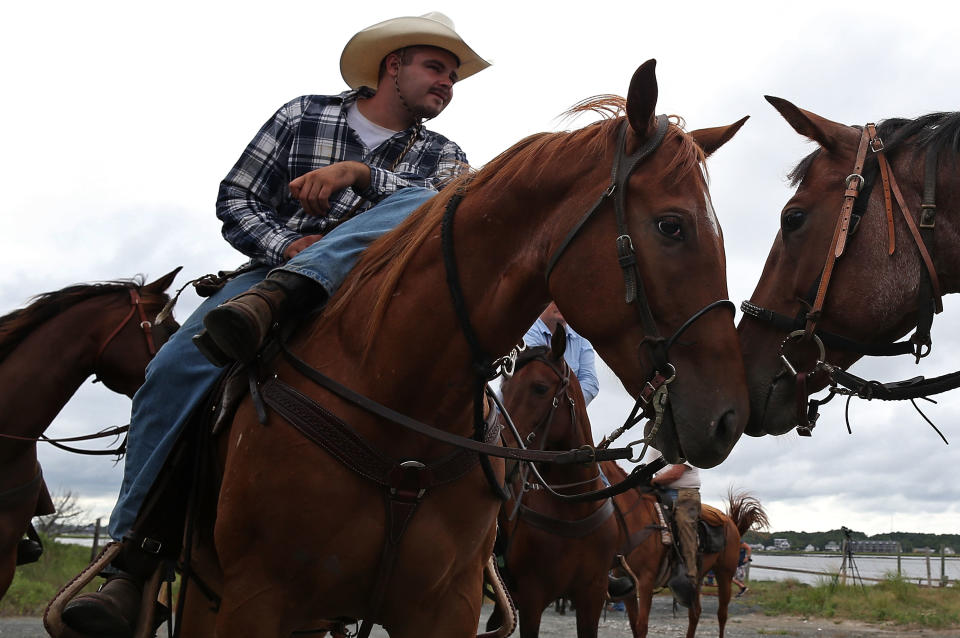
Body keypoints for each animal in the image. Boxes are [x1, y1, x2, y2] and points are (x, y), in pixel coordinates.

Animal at [496, 330, 624, 638]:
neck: (572, 507)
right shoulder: (531, 599)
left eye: (540, 388)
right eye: (504, 387)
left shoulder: (592, 596)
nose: (501, 455)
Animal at [608, 464, 772, 638]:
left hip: (724, 574)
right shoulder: (625, 581)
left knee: (722, 614)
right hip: (699, 577)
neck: (635, 518)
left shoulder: (645, 580)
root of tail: (731, 523)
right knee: (695, 613)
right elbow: (634, 625)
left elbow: (641, 627)